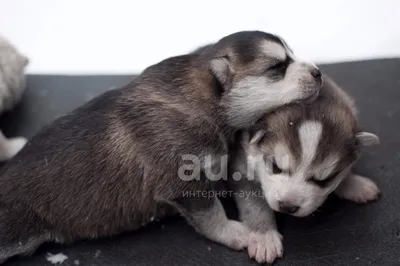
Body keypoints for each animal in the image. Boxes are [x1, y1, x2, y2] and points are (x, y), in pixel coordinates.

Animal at [0, 31, 322, 264]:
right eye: (277, 67)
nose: (319, 72)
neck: (202, 100)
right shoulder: (184, 185)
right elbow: (212, 216)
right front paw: (238, 232)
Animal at [230, 74, 380, 262]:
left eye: (324, 180)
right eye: (275, 167)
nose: (287, 207)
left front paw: (356, 185)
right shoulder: (242, 170)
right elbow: (255, 206)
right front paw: (264, 237)